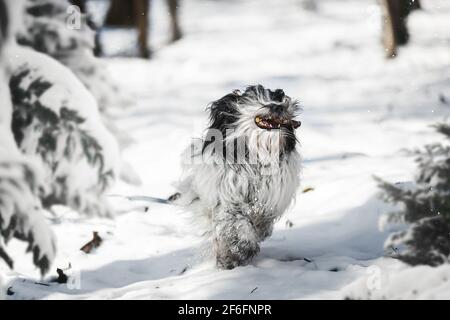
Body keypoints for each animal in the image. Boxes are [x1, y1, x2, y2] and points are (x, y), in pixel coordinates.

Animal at [169, 84, 302, 268]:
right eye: (257, 97)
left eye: (278, 98)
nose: (278, 107)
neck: (256, 157)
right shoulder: (227, 199)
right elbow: (236, 223)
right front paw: (243, 245)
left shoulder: (271, 197)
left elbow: (261, 220)